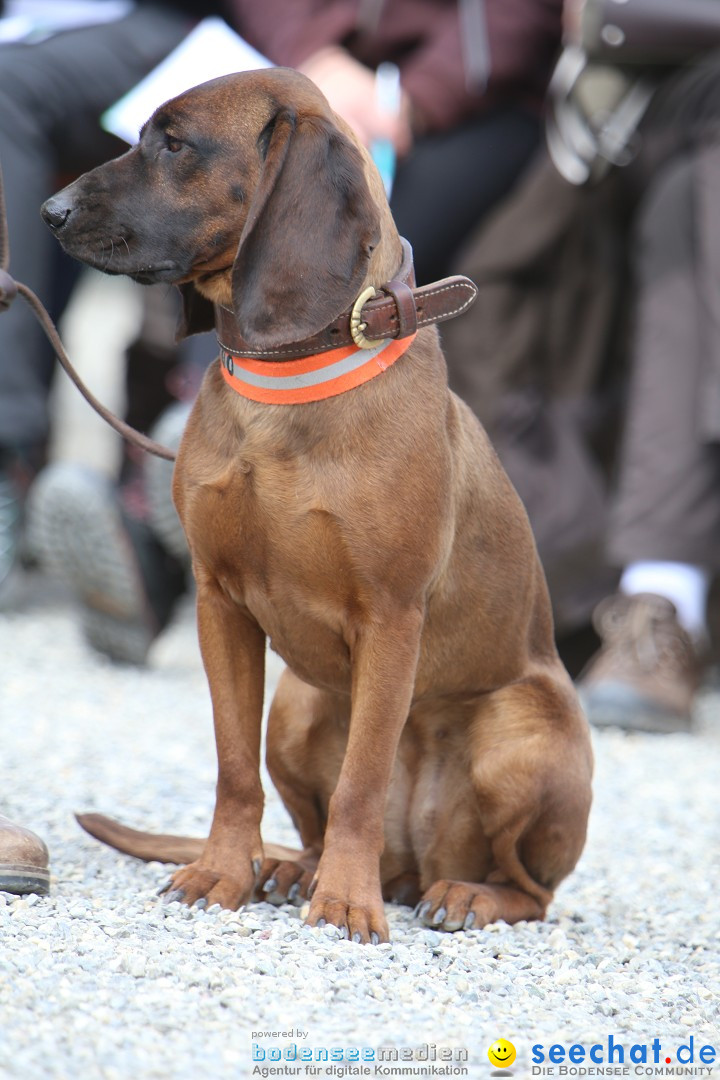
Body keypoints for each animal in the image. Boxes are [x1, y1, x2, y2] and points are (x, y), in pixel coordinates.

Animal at [43, 69, 591, 946]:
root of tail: (414, 866)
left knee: (527, 888)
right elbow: (234, 770)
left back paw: (456, 896)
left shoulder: (392, 620)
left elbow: (363, 781)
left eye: (175, 143)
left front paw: (345, 903)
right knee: (310, 823)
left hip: (522, 740)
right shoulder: (220, 604)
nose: (48, 211)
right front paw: (223, 873)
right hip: (298, 707)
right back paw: (295, 869)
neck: (288, 378)